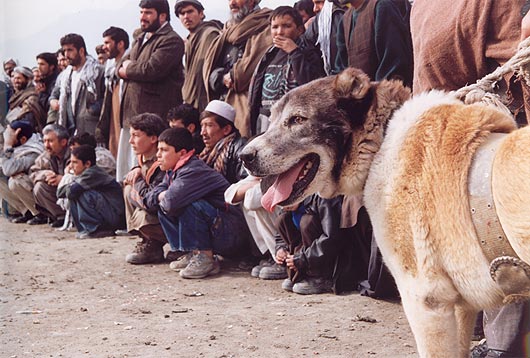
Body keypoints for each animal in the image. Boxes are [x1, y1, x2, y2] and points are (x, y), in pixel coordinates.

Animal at [239, 68, 528, 356]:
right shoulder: (458, 305)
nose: (244, 156)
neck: (382, 139)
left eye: (297, 119)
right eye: (273, 119)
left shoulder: (425, 301)